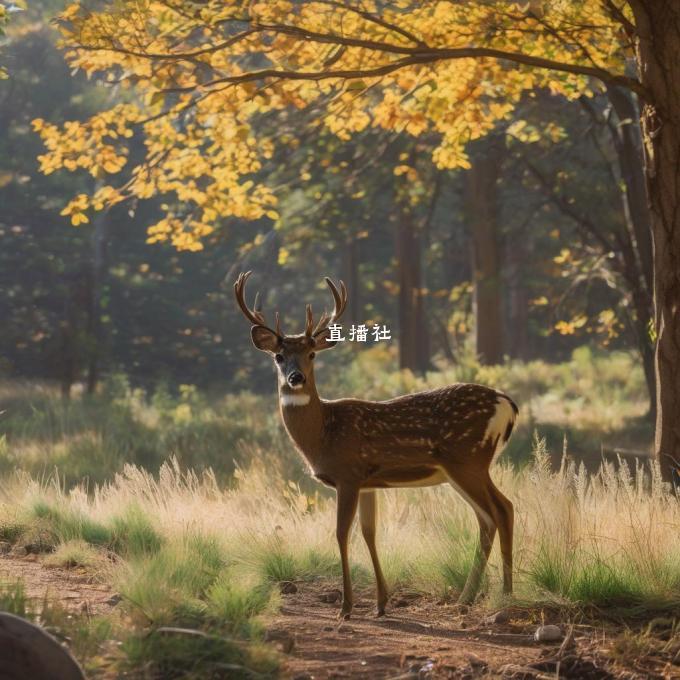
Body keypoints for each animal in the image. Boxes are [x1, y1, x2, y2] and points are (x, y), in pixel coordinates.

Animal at [236, 272, 516, 620]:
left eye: (312, 353)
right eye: (279, 356)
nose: (296, 378)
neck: (322, 434)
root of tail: (508, 404)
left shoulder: (348, 474)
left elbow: (342, 533)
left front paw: (346, 608)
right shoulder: (369, 482)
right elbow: (370, 533)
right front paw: (381, 604)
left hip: (468, 459)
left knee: (499, 512)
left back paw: (501, 596)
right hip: (469, 466)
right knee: (495, 513)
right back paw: (473, 598)